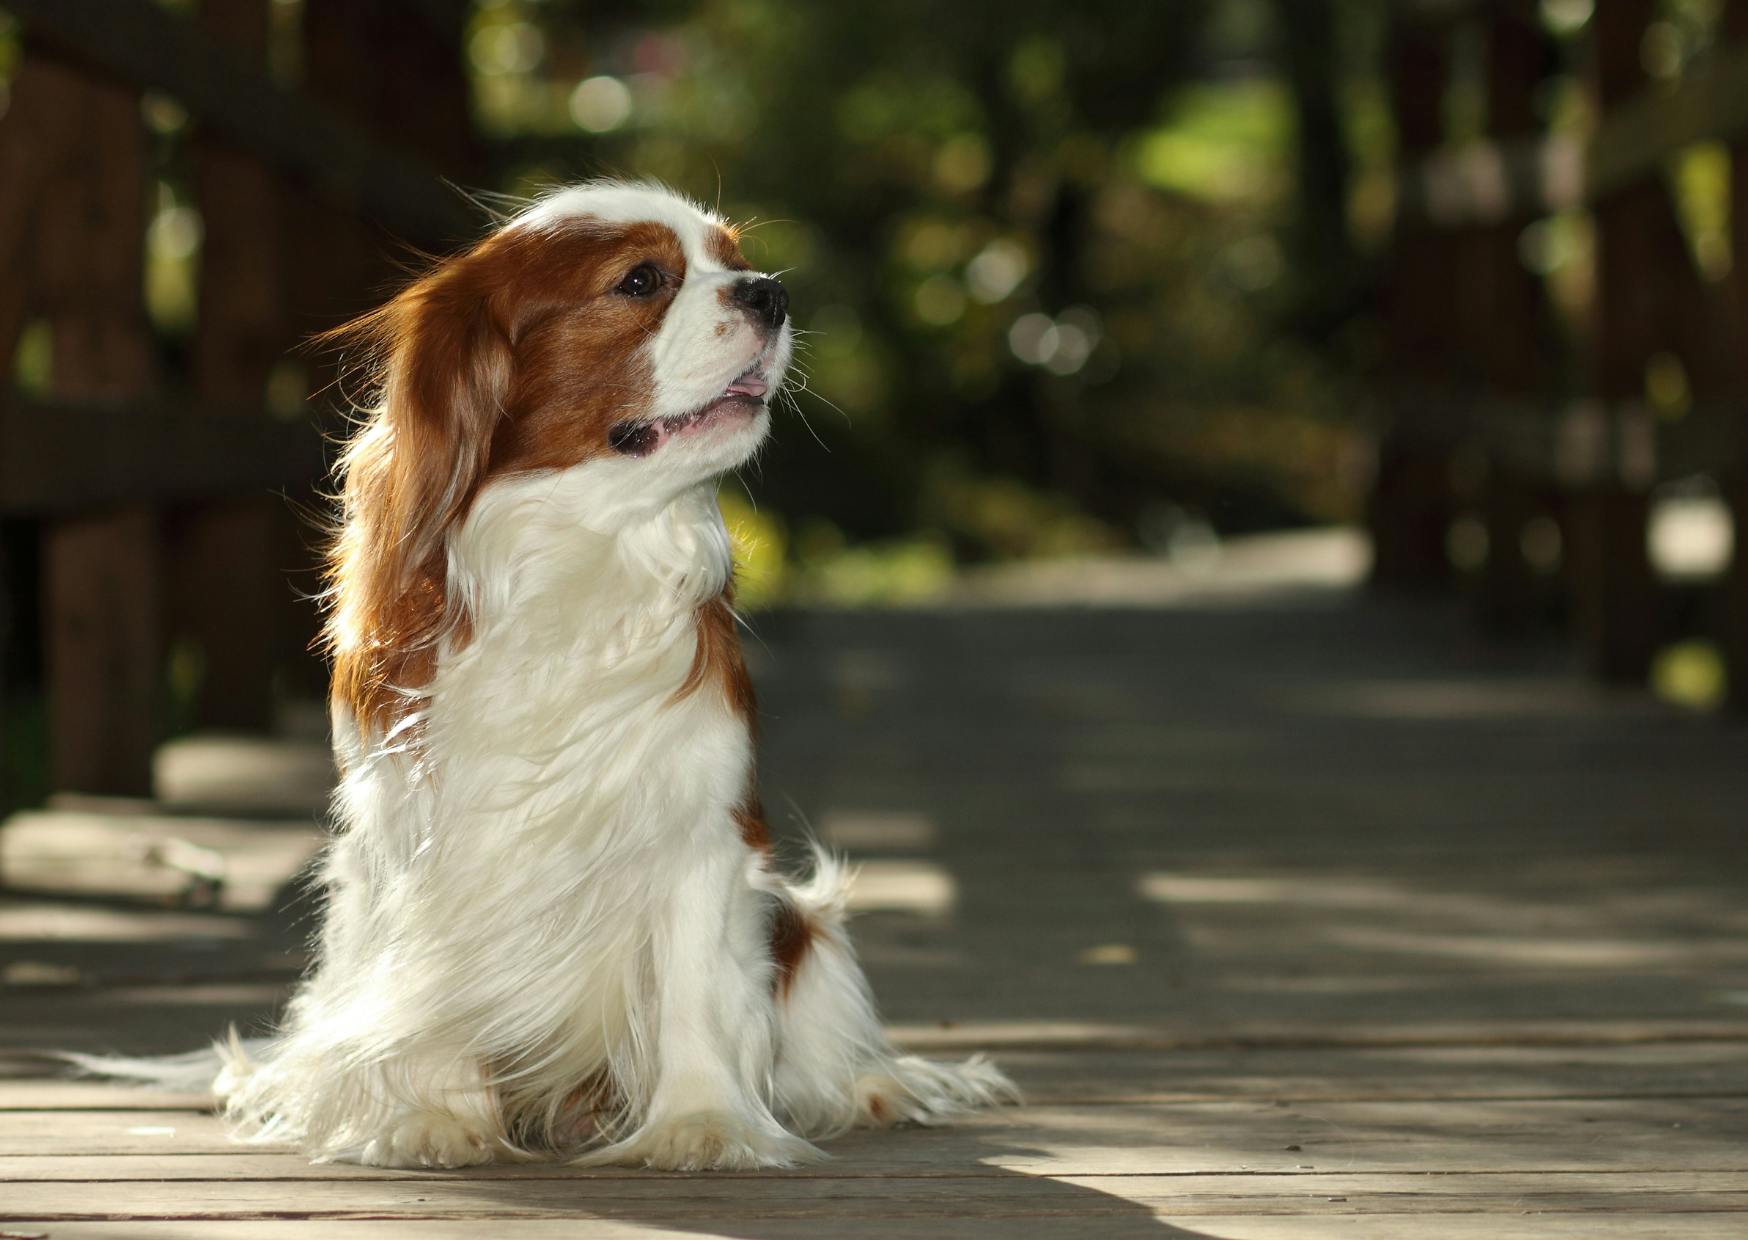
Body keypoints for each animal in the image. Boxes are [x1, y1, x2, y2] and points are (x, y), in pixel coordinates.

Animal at [82, 179, 1013, 1168]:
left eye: (734, 259)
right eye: (641, 280)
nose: (770, 292)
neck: (584, 551)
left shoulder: (703, 831)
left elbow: (697, 988)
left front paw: (701, 1123)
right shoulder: (413, 831)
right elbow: (423, 980)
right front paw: (432, 1117)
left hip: (805, 922)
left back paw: (867, 1088)